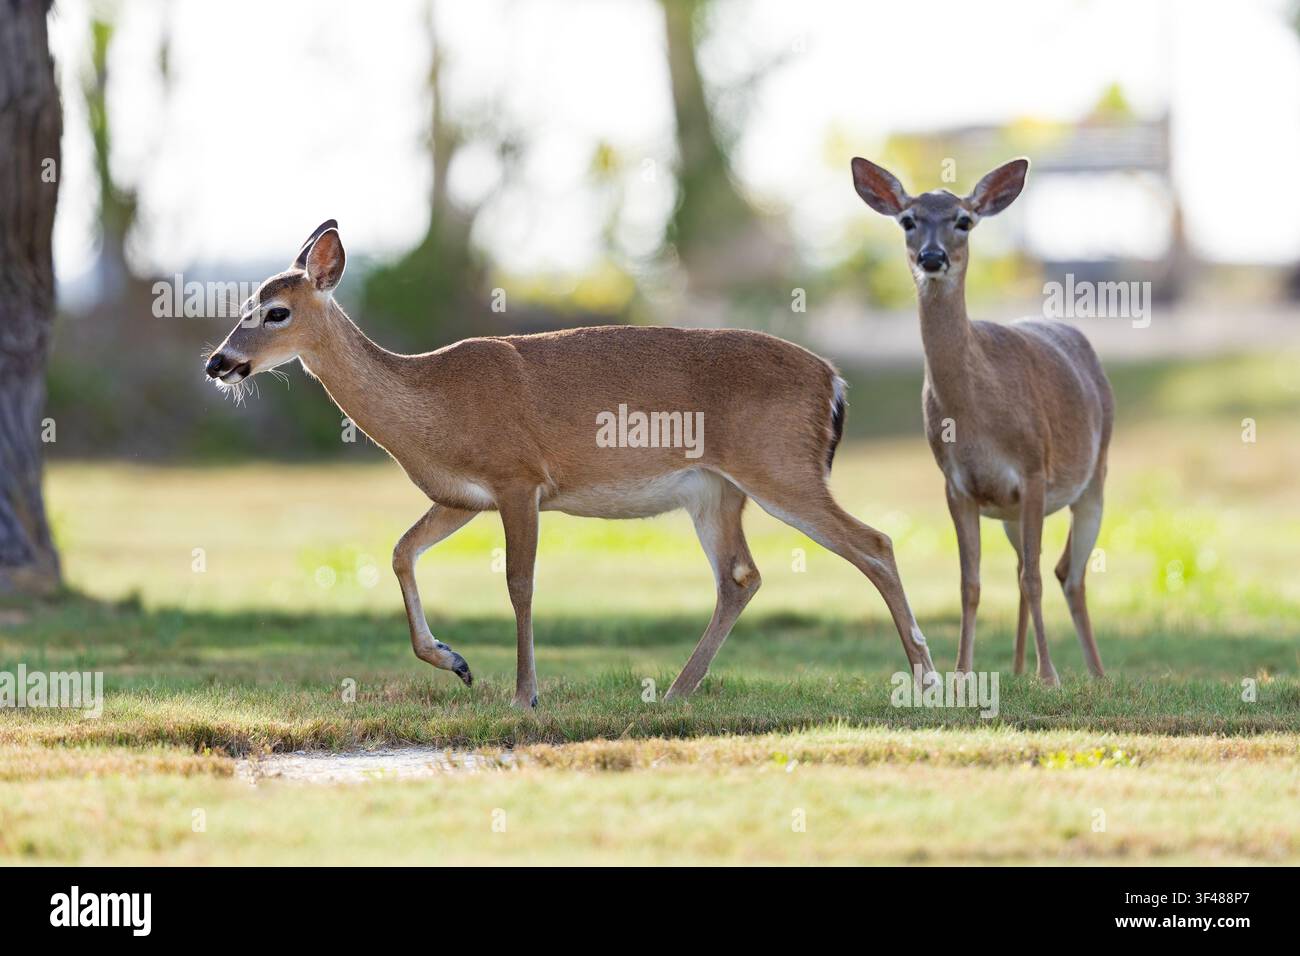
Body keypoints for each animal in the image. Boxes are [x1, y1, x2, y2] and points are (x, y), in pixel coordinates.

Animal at [203, 220, 939, 707]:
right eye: (243, 306)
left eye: (275, 310)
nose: (217, 362)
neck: (432, 403)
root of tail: (834, 381)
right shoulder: (462, 495)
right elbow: (400, 552)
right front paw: (455, 662)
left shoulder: (520, 479)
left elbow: (519, 584)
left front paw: (523, 695)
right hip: (714, 491)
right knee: (741, 575)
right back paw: (677, 690)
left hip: (780, 466)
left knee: (874, 542)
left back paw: (927, 679)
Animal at [849, 158, 1113, 686]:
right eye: (907, 220)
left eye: (963, 220)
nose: (932, 257)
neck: (976, 420)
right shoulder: (958, 485)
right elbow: (970, 583)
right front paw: (963, 672)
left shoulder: (1033, 470)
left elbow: (1035, 578)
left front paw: (1050, 677)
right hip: (1013, 513)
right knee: (1029, 569)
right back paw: (1016, 669)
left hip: (1094, 476)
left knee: (1066, 574)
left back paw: (1092, 673)